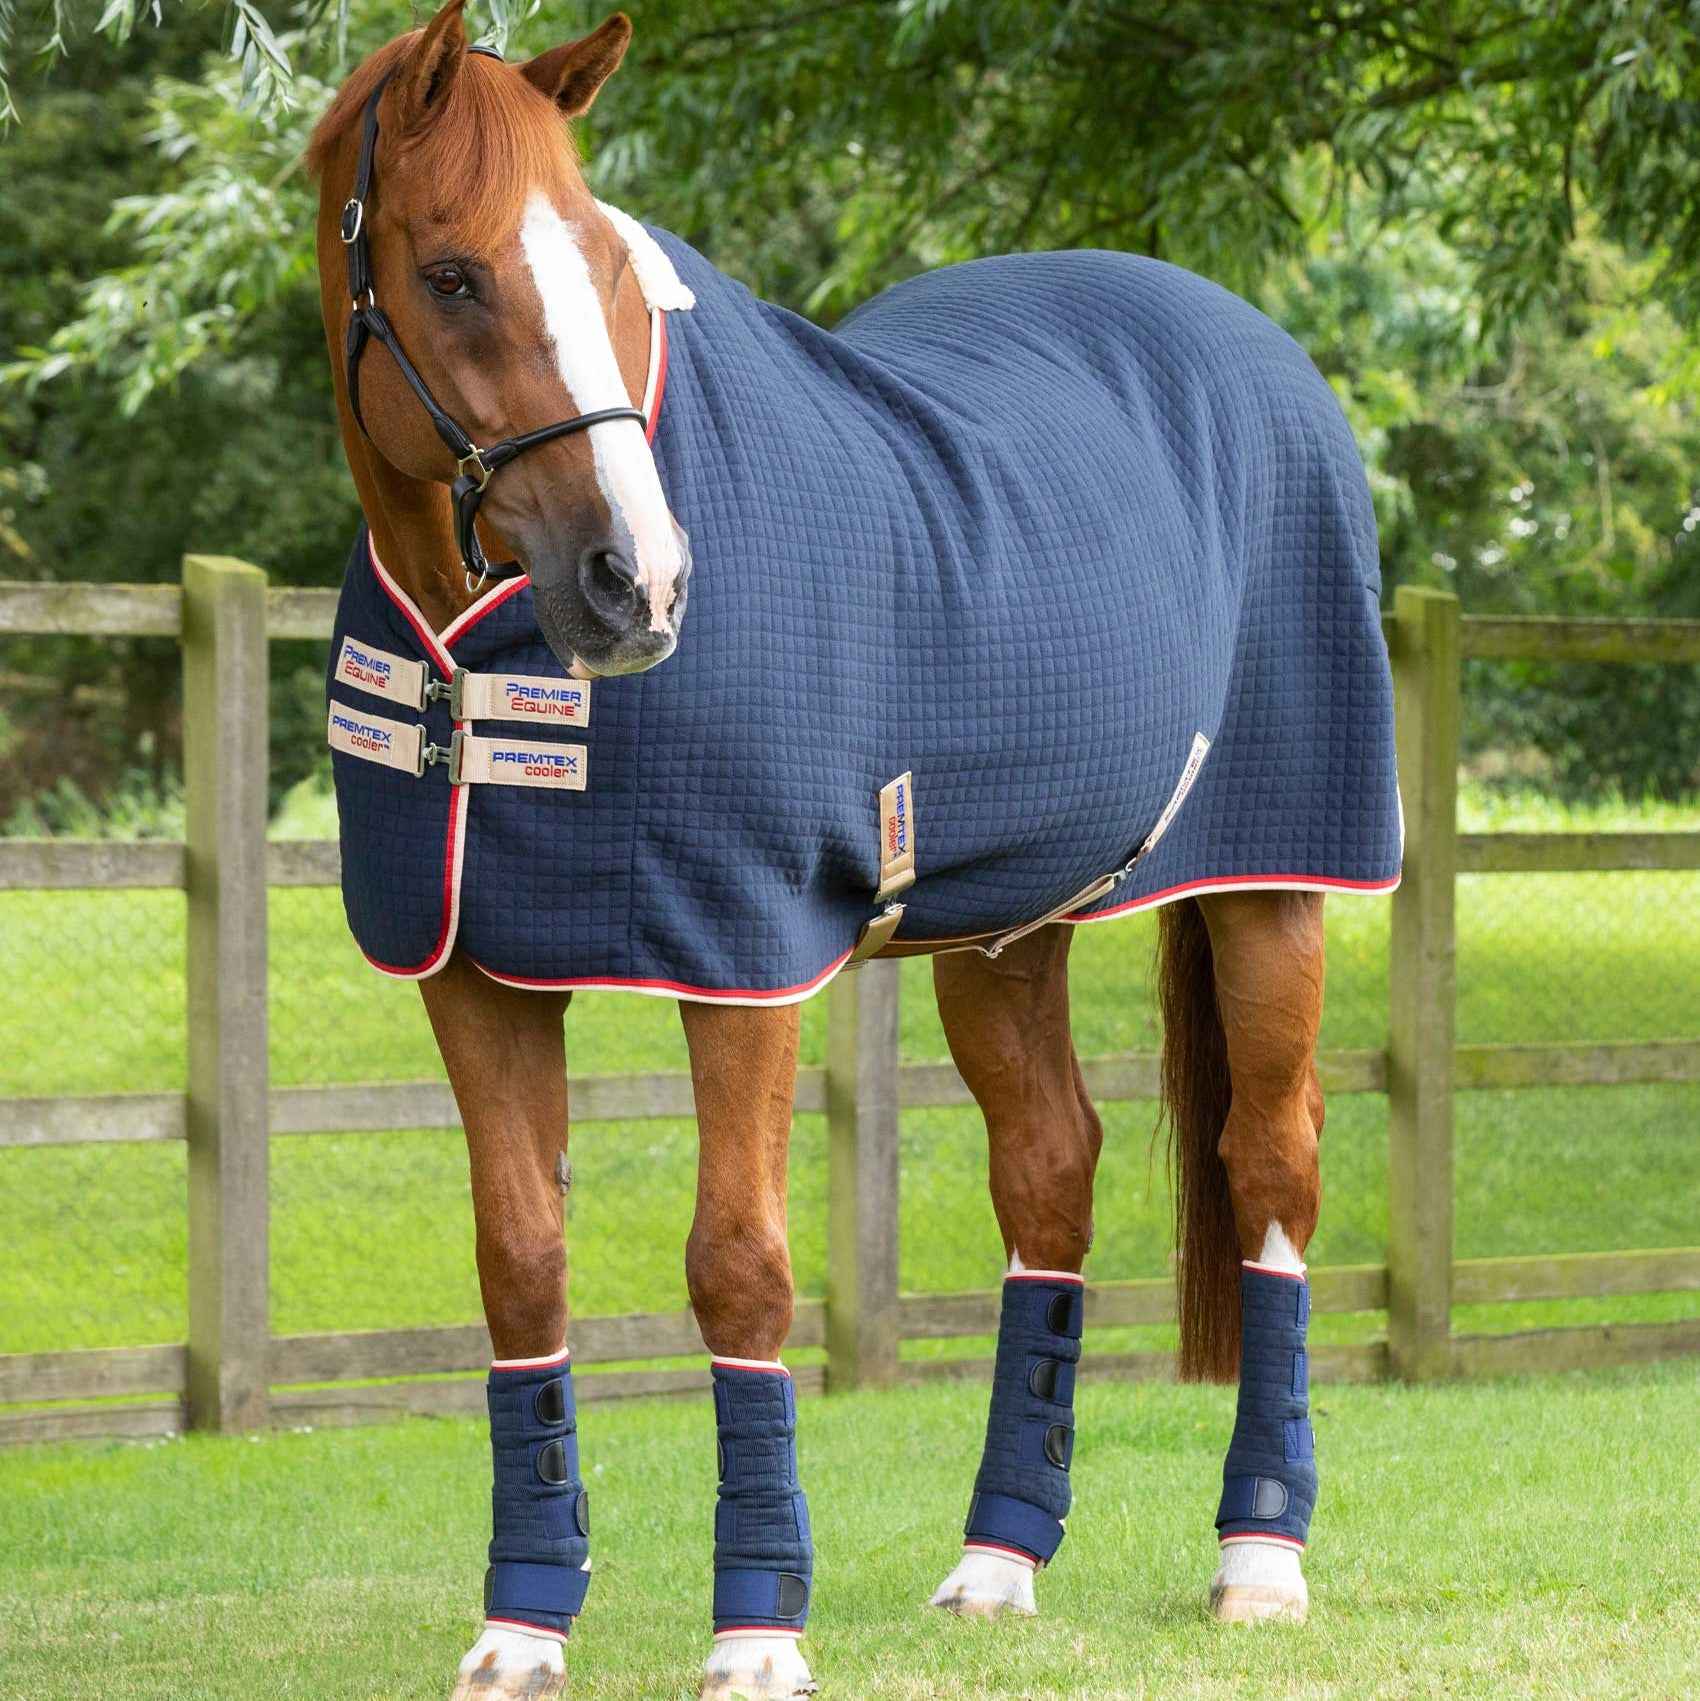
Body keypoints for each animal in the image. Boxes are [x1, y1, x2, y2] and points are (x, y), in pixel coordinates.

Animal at [306, 8, 1402, 1697]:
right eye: (453, 274)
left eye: (611, 266)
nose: (638, 583)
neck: (477, 649)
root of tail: (1248, 339)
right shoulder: (472, 971)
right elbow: (521, 1265)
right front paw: (522, 1621)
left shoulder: (740, 958)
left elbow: (740, 1264)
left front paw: (757, 1628)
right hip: (1006, 927)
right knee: (1049, 1174)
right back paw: (999, 1561)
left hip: (1278, 887)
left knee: (1271, 1164)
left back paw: (1260, 1559)